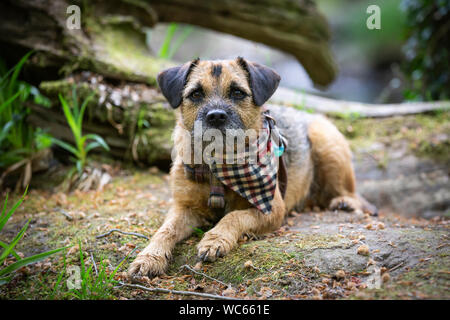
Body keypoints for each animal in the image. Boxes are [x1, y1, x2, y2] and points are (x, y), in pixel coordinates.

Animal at [127, 57, 376, 278]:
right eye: (196, 93)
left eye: (237, 92)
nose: (216, 116)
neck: (219, 166)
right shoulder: (184, 208)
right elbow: (164, 230)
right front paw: (149, 258)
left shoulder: (272, 210)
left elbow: (235, 216)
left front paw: (215, 239)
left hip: (326, 144)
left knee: (350, 193)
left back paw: (344, 202)